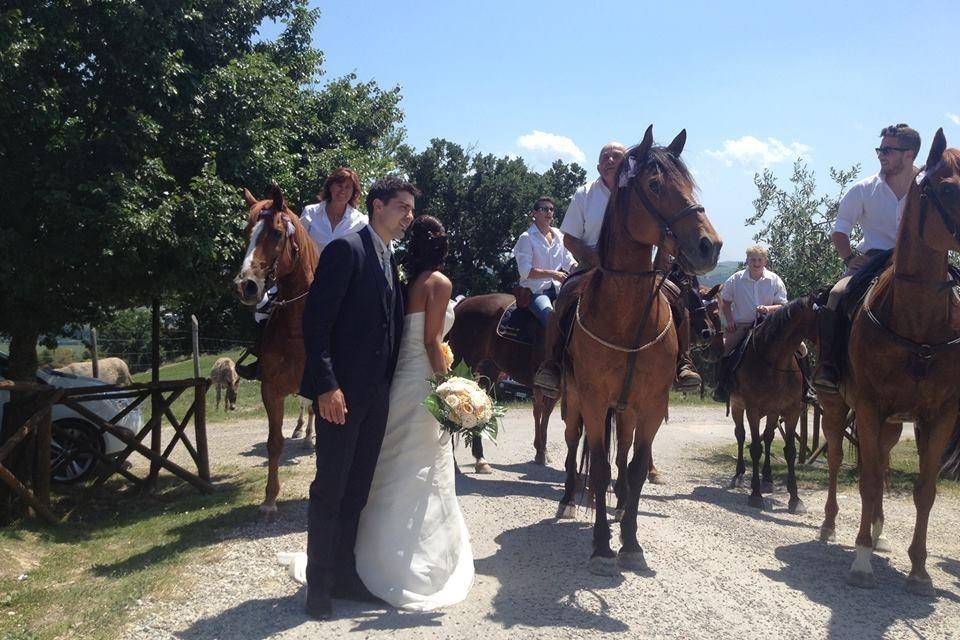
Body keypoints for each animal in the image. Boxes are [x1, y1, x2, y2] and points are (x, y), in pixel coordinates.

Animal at [234, 185, 320, 516]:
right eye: (247, 232)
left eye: (276, 233)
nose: (245, 285)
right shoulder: (271, 390)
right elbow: (274, 443)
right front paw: (270, 500)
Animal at [448, 294, 556, 464]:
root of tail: (464, 302)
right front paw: (541, 453)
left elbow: (543, 413)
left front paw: (542, 451)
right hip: (462, 363)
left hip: (488, 370)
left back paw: (480, 458)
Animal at [556, 126, 720, 576]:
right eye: (654, 185)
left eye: (690, 184)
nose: (709, 245)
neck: (626, 319)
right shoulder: (595, 401)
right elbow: (597, 467)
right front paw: (600, 546)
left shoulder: (650, 405)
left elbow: (635, 469)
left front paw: (630, 542)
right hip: (573, 402)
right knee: (573, 447)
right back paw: (568, 501)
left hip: (625, 411)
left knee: (623, 456)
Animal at [816, 130, 960, 596]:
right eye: (947, 189)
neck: (917, 321)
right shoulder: (868, 406)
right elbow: (865, 479)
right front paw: (861, 562)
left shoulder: (939, 415)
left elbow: (924, 488)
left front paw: (919, 570)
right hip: (835, 408)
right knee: (839, 461)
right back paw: (830, 526)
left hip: (895, 424)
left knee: (878, 466)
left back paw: (879, 532)